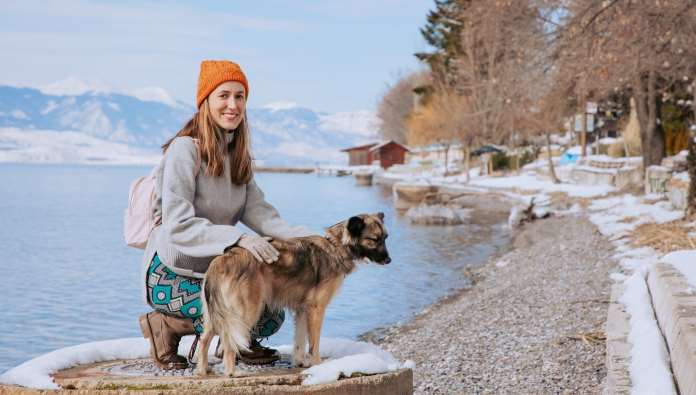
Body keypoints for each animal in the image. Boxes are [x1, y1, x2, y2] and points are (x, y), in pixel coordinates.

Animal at [196, 213, 392, 378]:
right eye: (373, 239)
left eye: (385, 238)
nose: (389, 260)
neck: (335, 246)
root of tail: (221, 260)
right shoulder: (316, 309)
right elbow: (314, 343)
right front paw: (318, 364)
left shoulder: (303, 310)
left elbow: (300, 340)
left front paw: (300, 362)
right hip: (244, 314)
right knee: (228, 343)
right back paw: (232, 373)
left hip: (215, 315)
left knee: (204, 340)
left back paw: (203, 370)